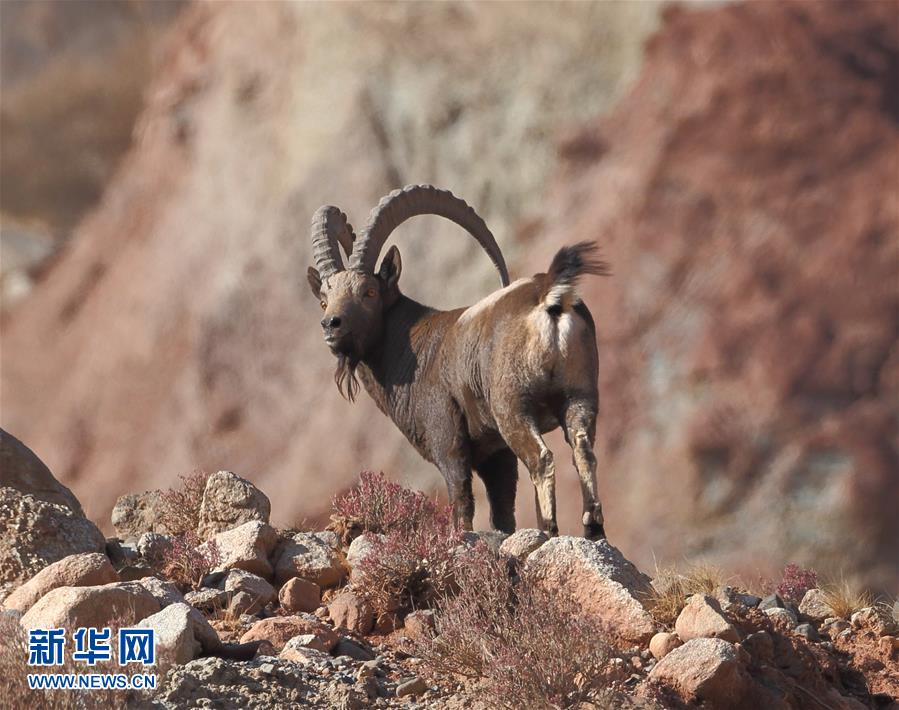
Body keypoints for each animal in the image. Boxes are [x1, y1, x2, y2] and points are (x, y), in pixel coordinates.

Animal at [310, 184, 612, 540]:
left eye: (369, 292)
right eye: (324, 300)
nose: (331, 325)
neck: (411, 346)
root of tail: (549, 297)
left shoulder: (448, 438)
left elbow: (461, 500)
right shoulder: (496, 452)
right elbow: (502, 510)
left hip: (513, 408)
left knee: (542, 459)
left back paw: (549, 531)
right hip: (579, 397)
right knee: (584, 452)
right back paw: (592, 529)